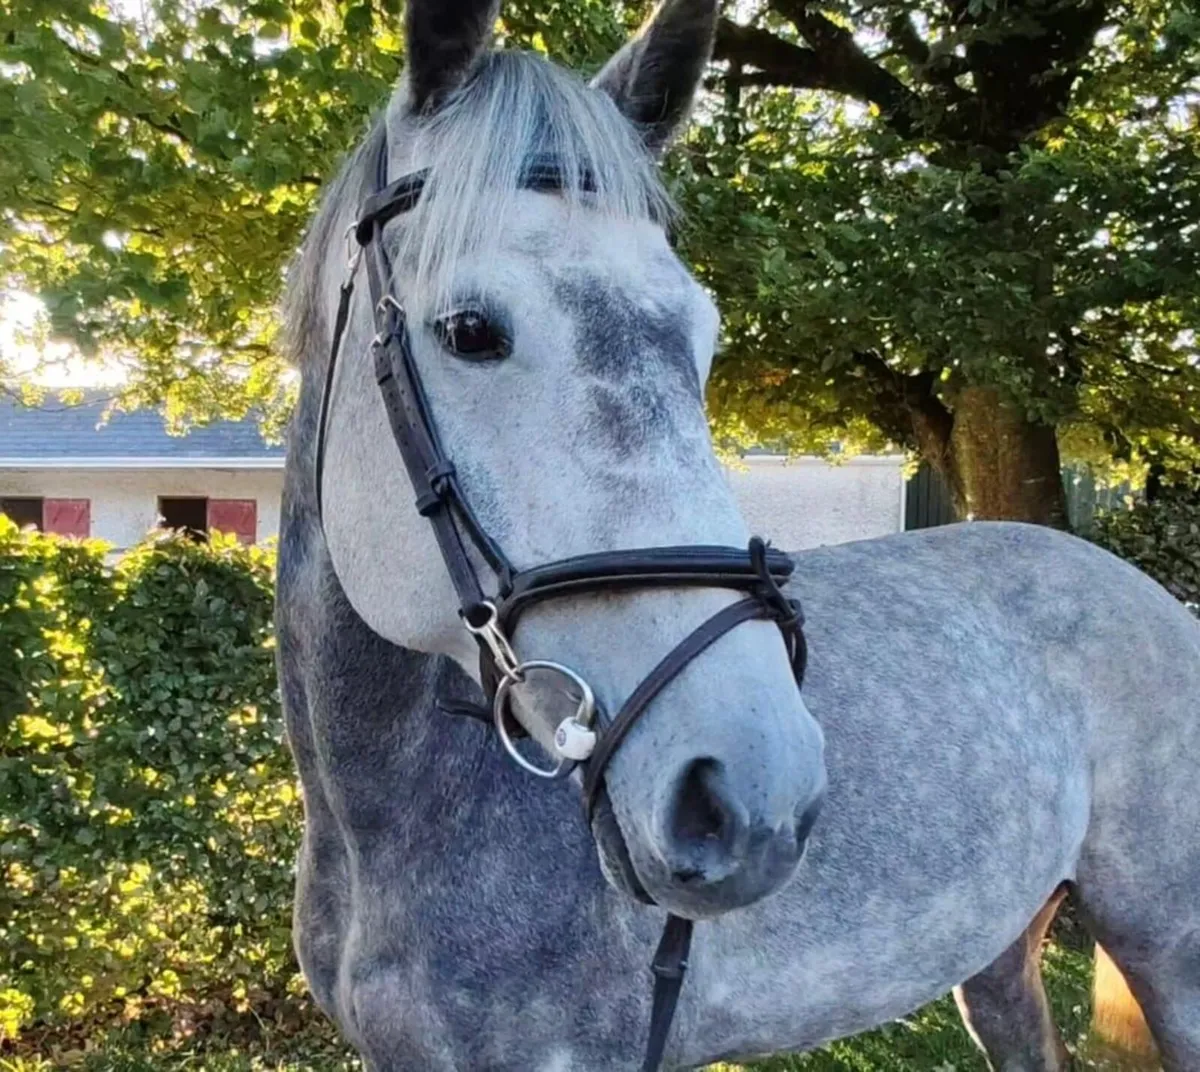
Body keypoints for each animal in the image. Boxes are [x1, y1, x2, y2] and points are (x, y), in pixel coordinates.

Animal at [276, 0, 1200, 1068]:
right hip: (1002, 957)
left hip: (1170, 950)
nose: (752, 794)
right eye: (470, 330)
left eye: (704, 337)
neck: (389, 815)